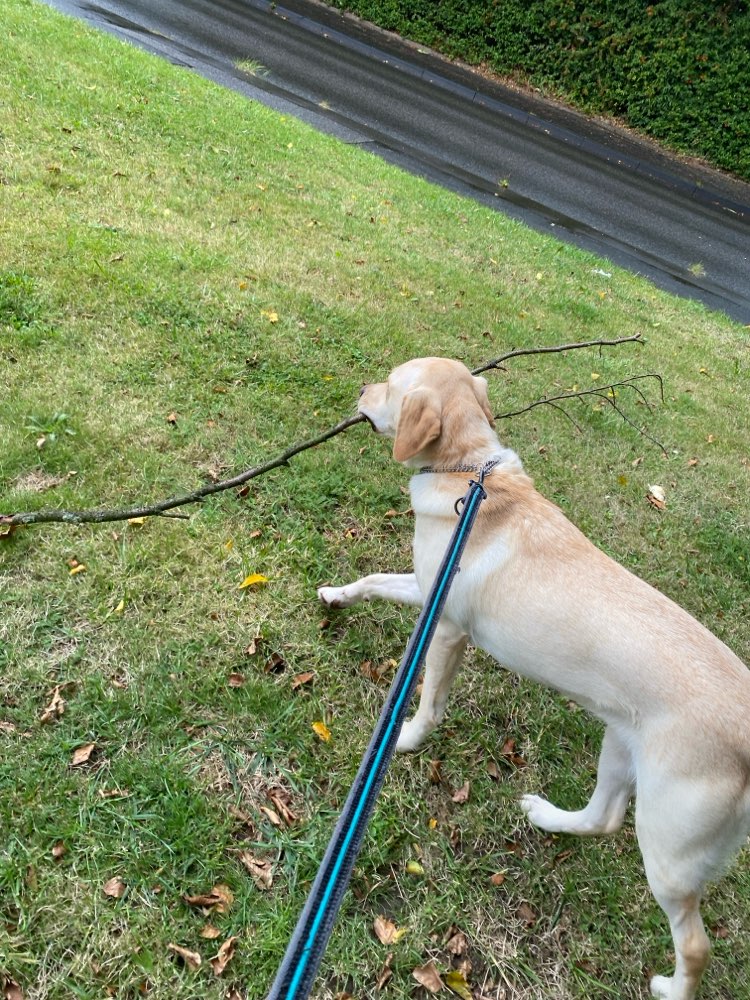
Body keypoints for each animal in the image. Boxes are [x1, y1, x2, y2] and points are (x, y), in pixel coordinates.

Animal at [320, 360, 750, 1000]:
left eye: (391, 385)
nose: (359, 391)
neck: (468, 472)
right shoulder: (423, 589)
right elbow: (371, 580)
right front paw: (334, 596)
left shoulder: (444, 627)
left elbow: (428, 702)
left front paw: (405, 739)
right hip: (620, 748)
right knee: (601, 819)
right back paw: (545, 815)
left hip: (669, 843)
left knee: (694, 943)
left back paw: (670, 987)